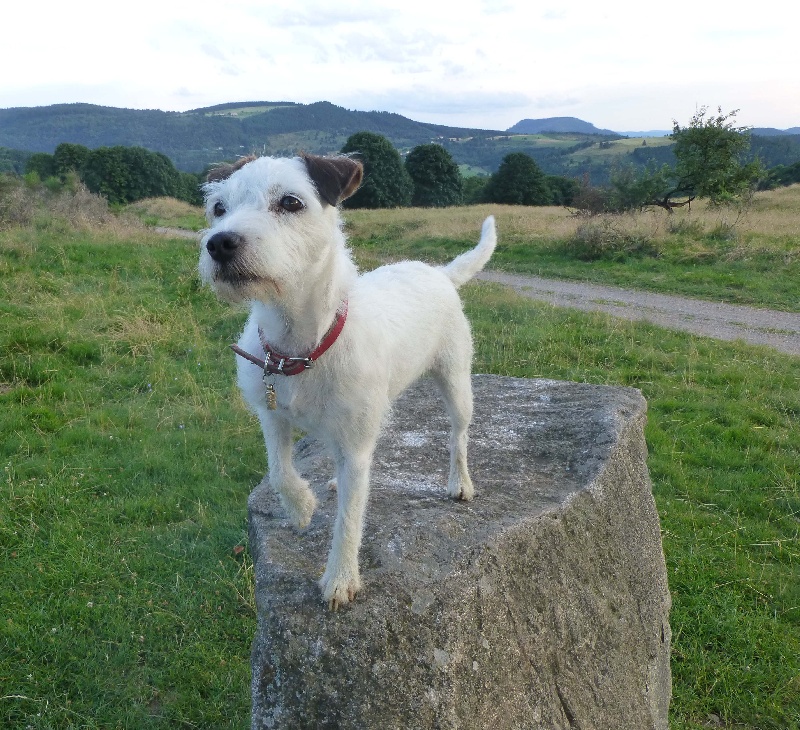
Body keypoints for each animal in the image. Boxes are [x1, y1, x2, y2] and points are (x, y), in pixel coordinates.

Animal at [199, 153, 496, 609]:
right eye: (218, 208)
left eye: (290, 202)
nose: (219, 243)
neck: (301, 346)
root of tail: (440, 273)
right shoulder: (272, 417)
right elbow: (279, 471)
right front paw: (301, 506)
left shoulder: (356, 443)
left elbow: (350, 519)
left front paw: (340, 579)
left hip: (456, 384)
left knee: (458, 436)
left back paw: (459, 482)